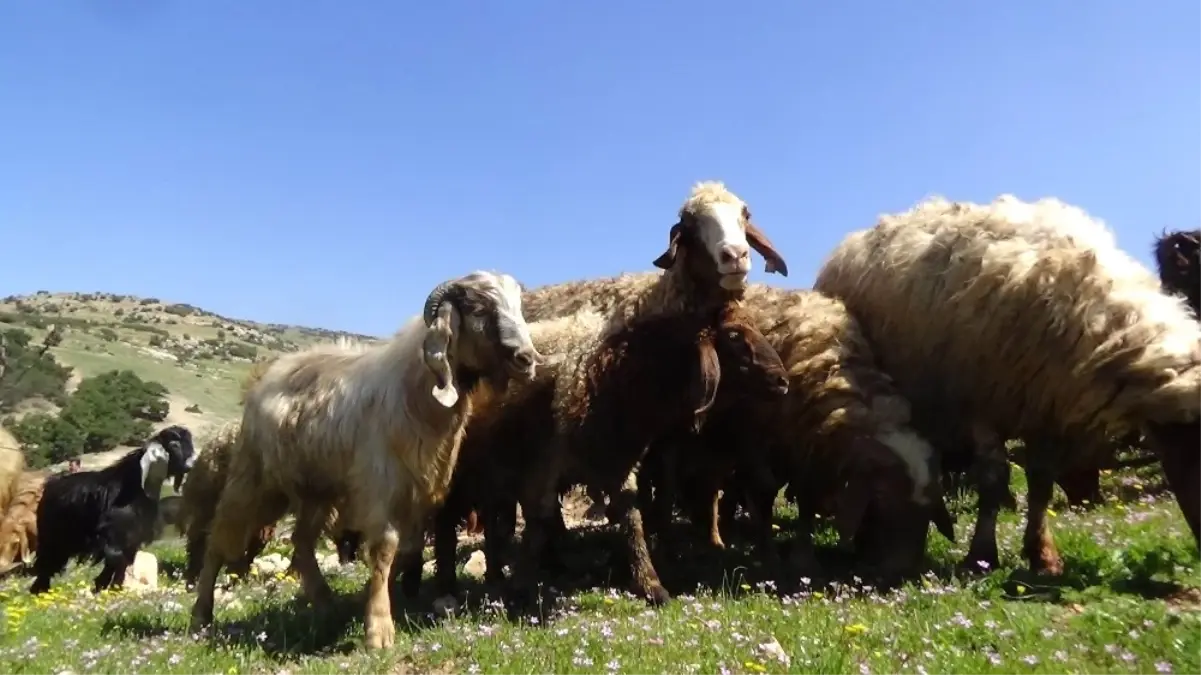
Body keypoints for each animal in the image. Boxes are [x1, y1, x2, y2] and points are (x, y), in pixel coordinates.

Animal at [30, 422, 195, 590]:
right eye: (174, 445)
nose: (189, 467)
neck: (132, 488)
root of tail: (51, 484)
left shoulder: (131, 543)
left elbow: (118, 573)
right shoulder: (112, 540)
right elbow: (112, 568)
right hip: (52, 539)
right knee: (46, 568)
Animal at [187, 267, 545, 648]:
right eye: (479, 309)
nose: (526, 359)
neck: (415, 393)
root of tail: (267, 375)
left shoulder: (417, 492)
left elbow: (405, 552)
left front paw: (375, 606)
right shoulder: (380, 483)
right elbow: (385, 549)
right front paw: (378, 630)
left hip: (315, 489)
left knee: (301, 543)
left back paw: (326, 605)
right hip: (254, 477)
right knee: (219, 540)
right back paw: (201, 617)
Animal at [816, 193, 1201, 571]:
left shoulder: (1043, 409)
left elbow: (1041, 482)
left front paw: (1042, 555)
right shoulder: (979, 406)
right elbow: (992, 478)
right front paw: (981, 555)